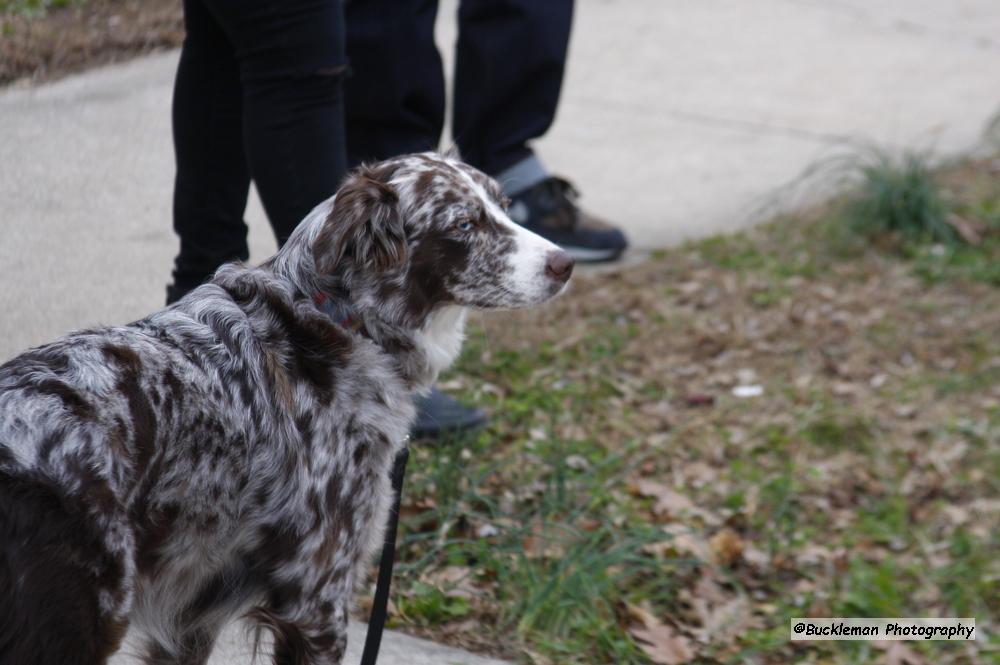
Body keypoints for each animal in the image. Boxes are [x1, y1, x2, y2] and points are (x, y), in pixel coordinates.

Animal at [0, 153, 576, 660]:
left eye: (504, 205)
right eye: (463, 223)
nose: (565, 264)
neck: (342, 320)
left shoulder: (191, 615)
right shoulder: (316, 599)